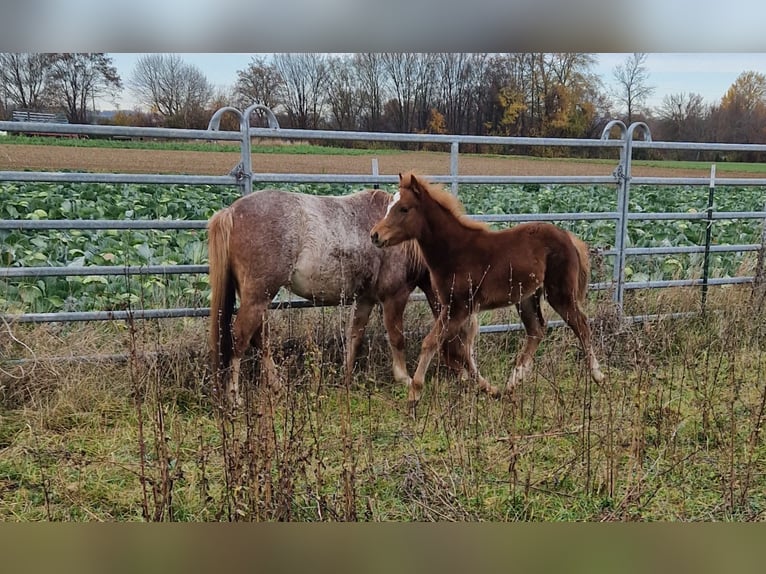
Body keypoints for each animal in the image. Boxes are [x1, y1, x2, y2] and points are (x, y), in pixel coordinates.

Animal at [208, 187, 478, 405]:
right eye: (464, 334)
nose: (470, 376)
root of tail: (231, 211)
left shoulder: (365, 299)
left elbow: (354, 336)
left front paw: (346, 377)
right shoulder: (394, 296)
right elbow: (396, 337)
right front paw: (404, 377)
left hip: (258, 299)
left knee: (259, 339)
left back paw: (276, 386)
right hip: (257, 297)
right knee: (240, 339)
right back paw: (234, 396)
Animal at [370, 172, 605, 410]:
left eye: (404, 208)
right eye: (389, 206)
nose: (375, 235)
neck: (454, 251)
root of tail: (568, 236)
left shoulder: (459, 307)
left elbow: (432, 342)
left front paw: (415, 393)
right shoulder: (457, 308)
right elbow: (462, 349)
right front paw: (490, 389)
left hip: (559, 292)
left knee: (581, 324)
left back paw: (598, 376)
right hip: (526, 297)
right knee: (537, 329)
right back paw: (512, 383)